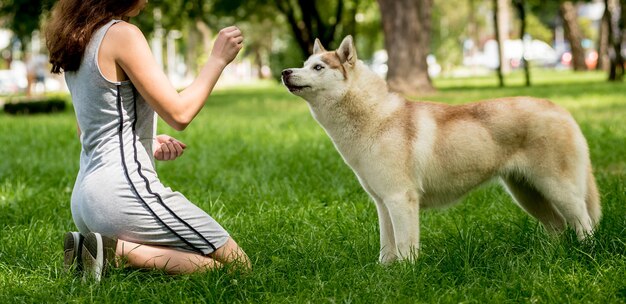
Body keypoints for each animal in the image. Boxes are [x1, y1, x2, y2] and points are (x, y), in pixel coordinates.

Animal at [280, 36, 596, 264]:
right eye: (305, 63)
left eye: (318, 67)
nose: (284, 72)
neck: (375, 118)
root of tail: (559, 108)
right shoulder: (382, 203)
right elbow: (387, 246)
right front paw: (383, 274)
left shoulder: (401, 199)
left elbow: (405, 245)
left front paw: (406, 275)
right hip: (526, 193)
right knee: (557, 226)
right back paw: (550, 257)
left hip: (557, 188)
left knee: (583, 221)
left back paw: (587, 253)